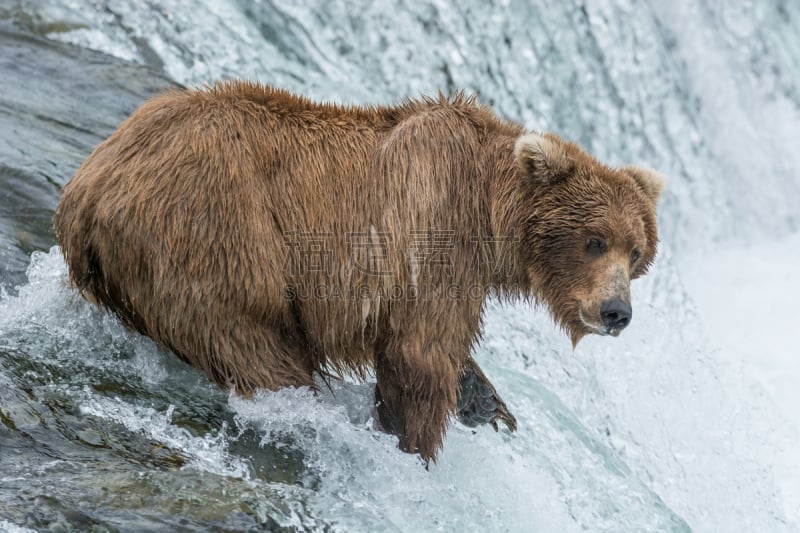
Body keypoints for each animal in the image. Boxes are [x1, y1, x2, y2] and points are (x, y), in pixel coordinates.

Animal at [54, 81, 664, 464]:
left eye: (636, 252)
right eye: (594, 241)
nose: (617, 312)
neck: (491, 214)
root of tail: (88, 188)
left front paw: (485, 402)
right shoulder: (433, 235)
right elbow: (419, 355)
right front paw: (417, 443)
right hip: (216, 241)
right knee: (261, 351)